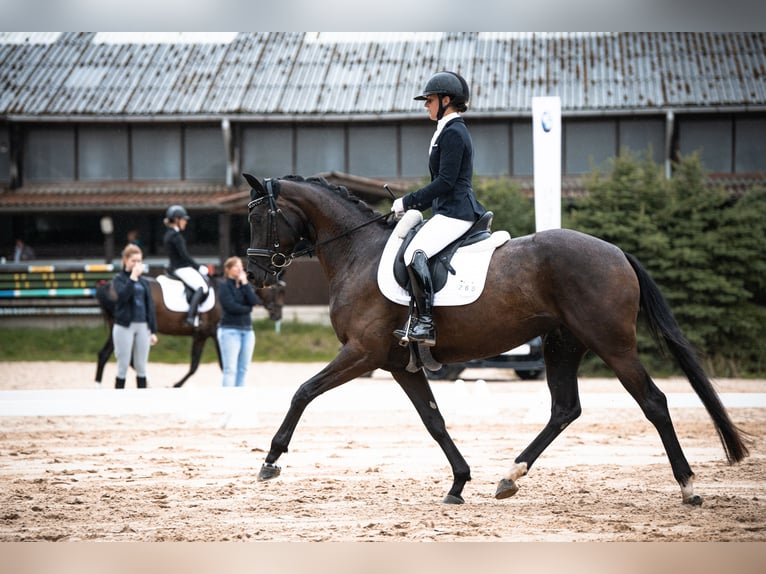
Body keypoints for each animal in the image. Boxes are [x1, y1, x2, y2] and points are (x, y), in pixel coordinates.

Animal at [95, 272, 286, 390]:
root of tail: (108, 285)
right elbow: (221, 365)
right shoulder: (216, 335)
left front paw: (176, 385)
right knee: (116, 357)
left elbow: (194, 365)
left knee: (109, 355)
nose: (277, 315)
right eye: (276, 289)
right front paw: (176, 385)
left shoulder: (201, 336)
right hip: (122, 328)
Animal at [244, 173, 752, 506]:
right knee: (565, 409)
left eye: (261, 217)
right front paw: (458, 483)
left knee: (654, 402)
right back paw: (510, 477)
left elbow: (303, 391)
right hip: (563, 343)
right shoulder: (396, 363)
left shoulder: (362, 353)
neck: (358, 252)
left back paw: (688, 487)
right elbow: (434, 421)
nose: (254, 276)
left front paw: (271, 459)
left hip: (612, 343)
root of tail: (616, 251)